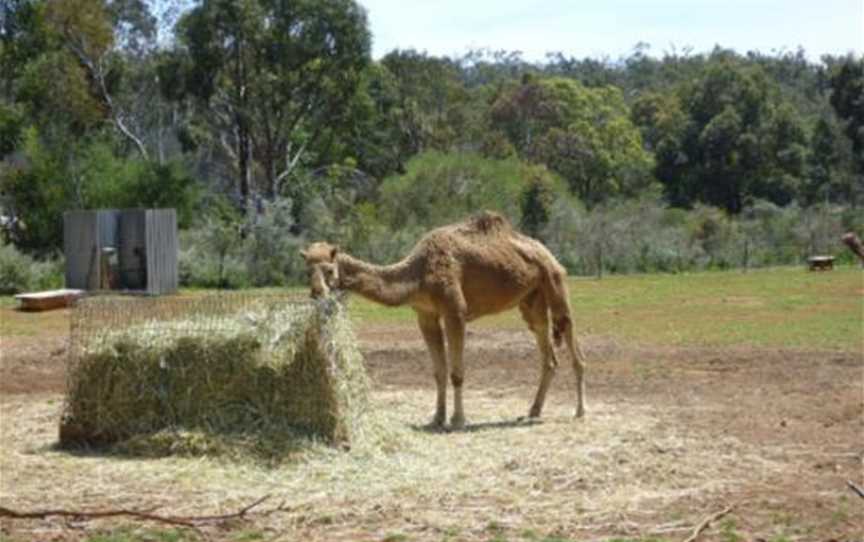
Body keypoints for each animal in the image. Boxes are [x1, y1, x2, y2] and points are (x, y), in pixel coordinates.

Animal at [298, 212, 588, 430]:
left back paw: (579, 411)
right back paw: (533, 411)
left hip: (555, 282)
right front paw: (436, 418)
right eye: (306, 271)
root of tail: (549, 254)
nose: (316, 293)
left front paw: (458, 420)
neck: (418, 274)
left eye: (329, 270)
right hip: (531, 300)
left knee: (571, 335)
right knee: (547, 352)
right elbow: (438, 371)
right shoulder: (425, 315)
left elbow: (456, 372)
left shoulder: (454, 311)